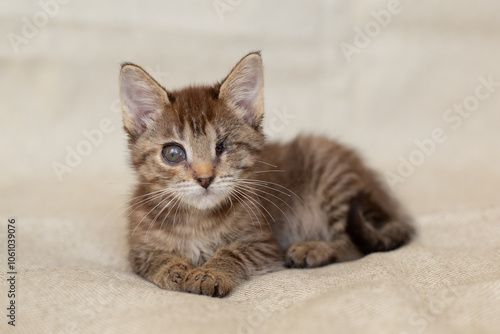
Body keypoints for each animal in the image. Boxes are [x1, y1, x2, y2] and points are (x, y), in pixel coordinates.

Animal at [118, 52, 414, 298]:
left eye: (222, 146)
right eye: (173, 153)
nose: (204, 179)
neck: (197, 220)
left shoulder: (264, 244)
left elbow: (233, 251)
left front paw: (208, 273)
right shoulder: (138, 247)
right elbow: (152, 258)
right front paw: (174, 269)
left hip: (333, 177)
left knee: (356, 245)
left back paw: (314, 249)